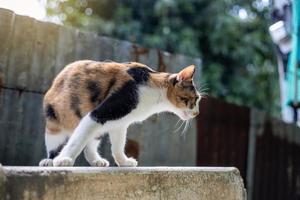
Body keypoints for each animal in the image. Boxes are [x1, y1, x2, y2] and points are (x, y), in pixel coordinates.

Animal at [38, 60, 200, 166]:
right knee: (57, 144)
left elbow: (118, 145)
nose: (197, 113)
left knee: (89, 144)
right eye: (195, 99)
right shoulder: (101, 113)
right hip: (55, 121)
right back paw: (49, 160)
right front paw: (63, 160)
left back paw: (97, 160)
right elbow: (76, 142)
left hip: (96, 131)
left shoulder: (120, 123)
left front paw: (124, 162)